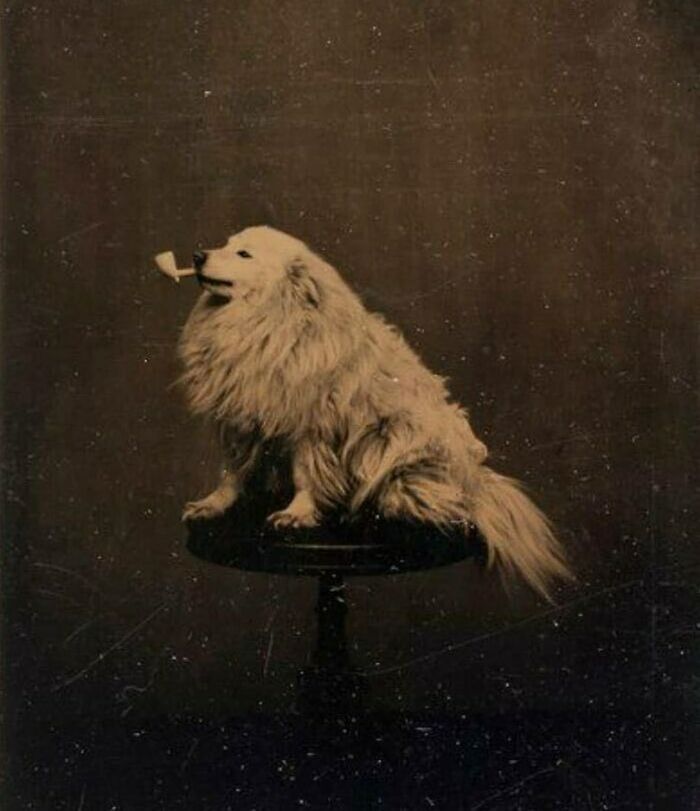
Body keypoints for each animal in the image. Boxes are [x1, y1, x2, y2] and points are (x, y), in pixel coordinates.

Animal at [178, 225, 572, 600]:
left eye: (243, 254)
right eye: (225, 244)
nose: (197, 255)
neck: (266, 321)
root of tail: (476, 480)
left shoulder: (313, 428)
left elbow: (306, 474)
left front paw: (297, 512)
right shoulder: (241, 422)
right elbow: (232, 472)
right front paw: (214, 504)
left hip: (397, 446)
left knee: (445, 503)